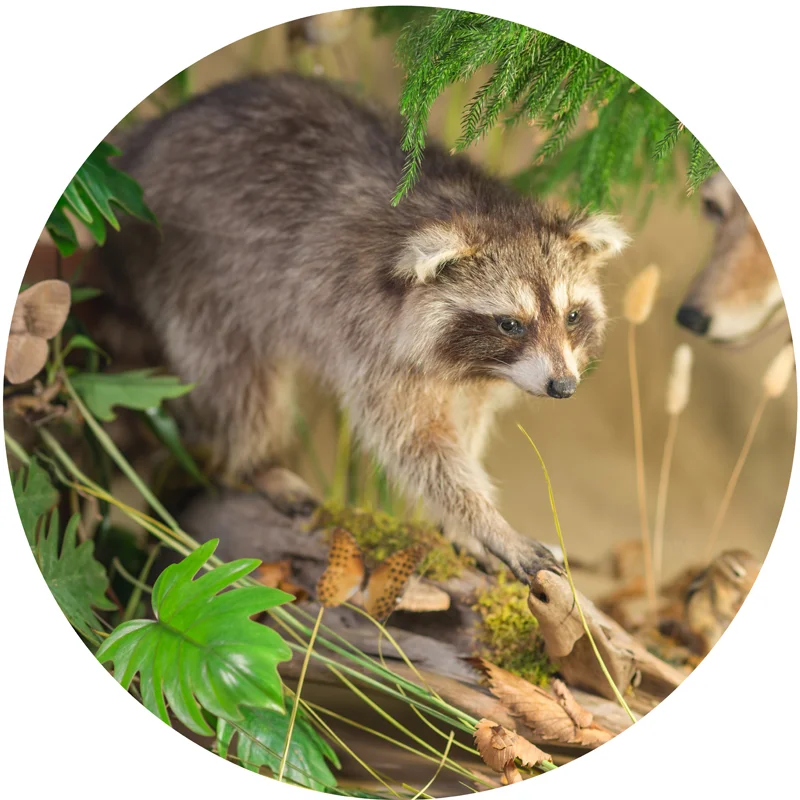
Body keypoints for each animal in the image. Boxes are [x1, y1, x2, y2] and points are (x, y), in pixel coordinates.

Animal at [97, 72, 629, 585]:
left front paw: (462, 524)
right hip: (186, 264)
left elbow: (465, 428)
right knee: (239, 378)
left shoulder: (481, 374)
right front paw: (484, 520)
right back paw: (257, 463)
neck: (480, 210)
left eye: (572, 316)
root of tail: (146, 138)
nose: (563, 386)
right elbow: (418, 444)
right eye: (510, 324)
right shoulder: (371, 335)